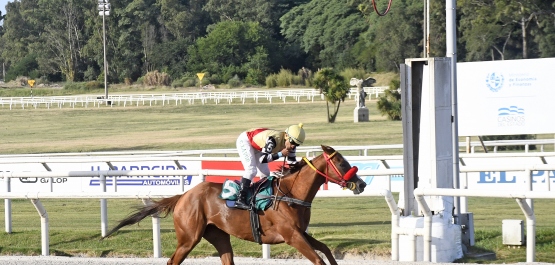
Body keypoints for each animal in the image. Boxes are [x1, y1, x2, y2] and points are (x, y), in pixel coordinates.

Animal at [103, 145, 368, 262]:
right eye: (342, 163)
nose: (362, 184)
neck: (290, 194)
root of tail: (183, 196)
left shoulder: (300, 232)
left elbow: (325, 250)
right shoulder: (291, 235)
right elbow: (317, 258)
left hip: (219, 235)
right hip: (189, 237)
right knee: (172, 260)